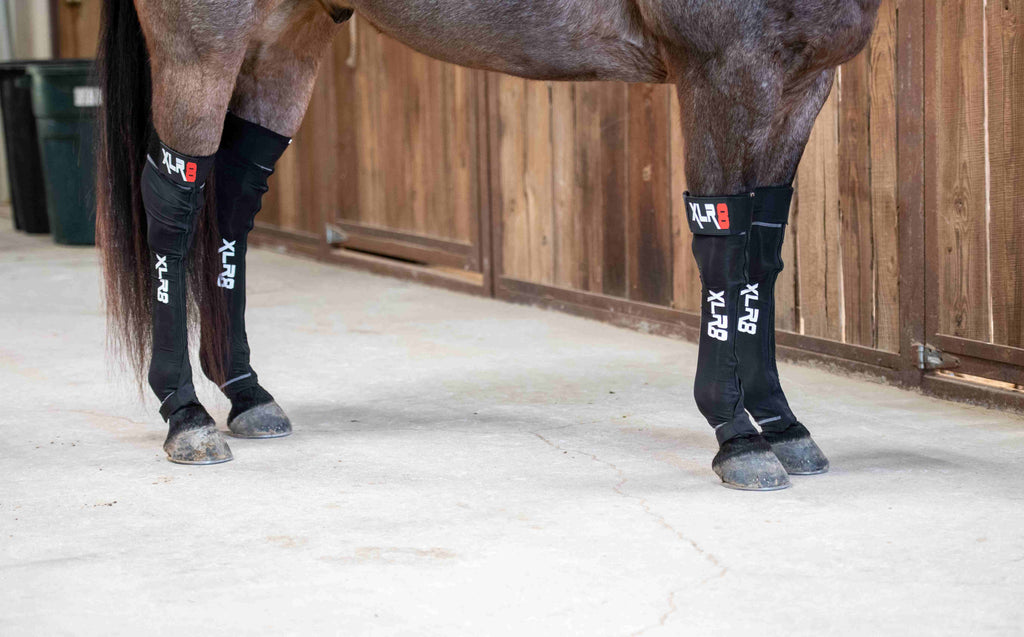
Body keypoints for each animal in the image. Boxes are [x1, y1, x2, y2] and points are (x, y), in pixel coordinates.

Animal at [96, 0, 881, 490]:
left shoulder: (804, 82)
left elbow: (761, 259)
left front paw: (784, 425)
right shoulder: (721, 70)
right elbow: (723, 248)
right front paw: (738, 436)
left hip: (289, 36)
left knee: (233, 197)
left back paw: (246, 393)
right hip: (201, 47)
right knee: (173, 205)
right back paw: (186, 416)